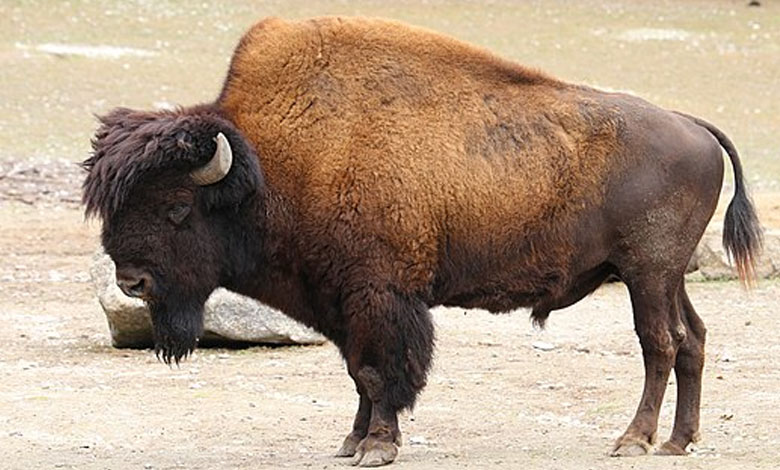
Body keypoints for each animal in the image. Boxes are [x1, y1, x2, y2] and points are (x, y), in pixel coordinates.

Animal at [84, 15, 760, 466]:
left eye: (177, 207)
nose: (131, 281)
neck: (272, 166)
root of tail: (693, 125)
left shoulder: (379, 296)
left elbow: (382, 371)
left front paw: (377, 447)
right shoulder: (340, 301)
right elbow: (359, 373)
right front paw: (351, 442)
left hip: (647, 274)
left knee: (660, 344)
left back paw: (633, 440)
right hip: (667, 276)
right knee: (694, 340)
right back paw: (678, 441)